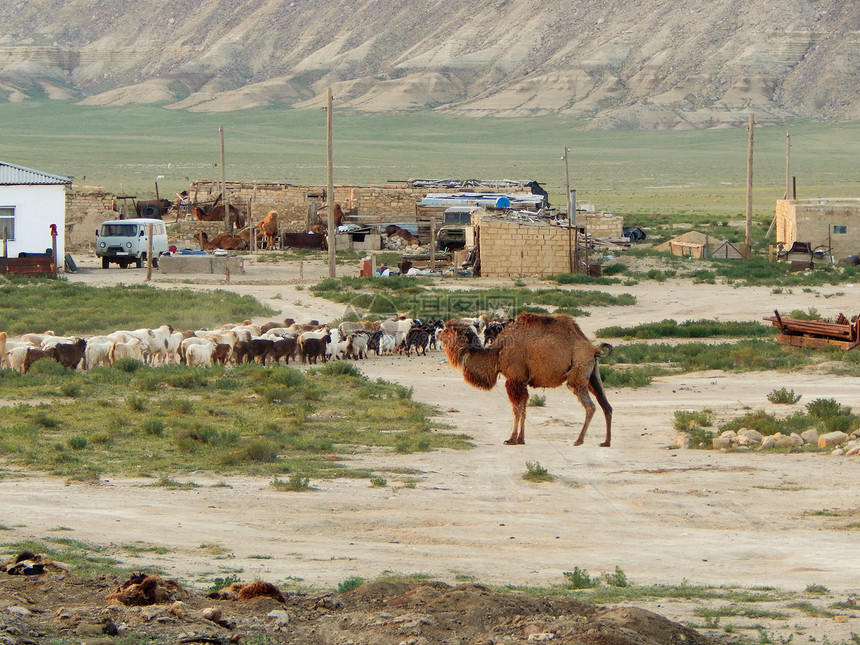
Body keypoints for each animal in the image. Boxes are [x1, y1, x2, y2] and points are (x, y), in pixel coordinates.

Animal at [440, 314, 616, 446]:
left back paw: (578, 440)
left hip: (578, 374)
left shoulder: (514, 378)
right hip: (593, 376)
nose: (439, 333)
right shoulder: (521, 381)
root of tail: (593, 348)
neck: (497, 353)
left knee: (590, 406)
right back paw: (606, 442)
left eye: (451, 328)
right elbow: (523, 407)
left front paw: (511, 439)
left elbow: (516, 408)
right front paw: (520, 438)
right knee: (605, 404)